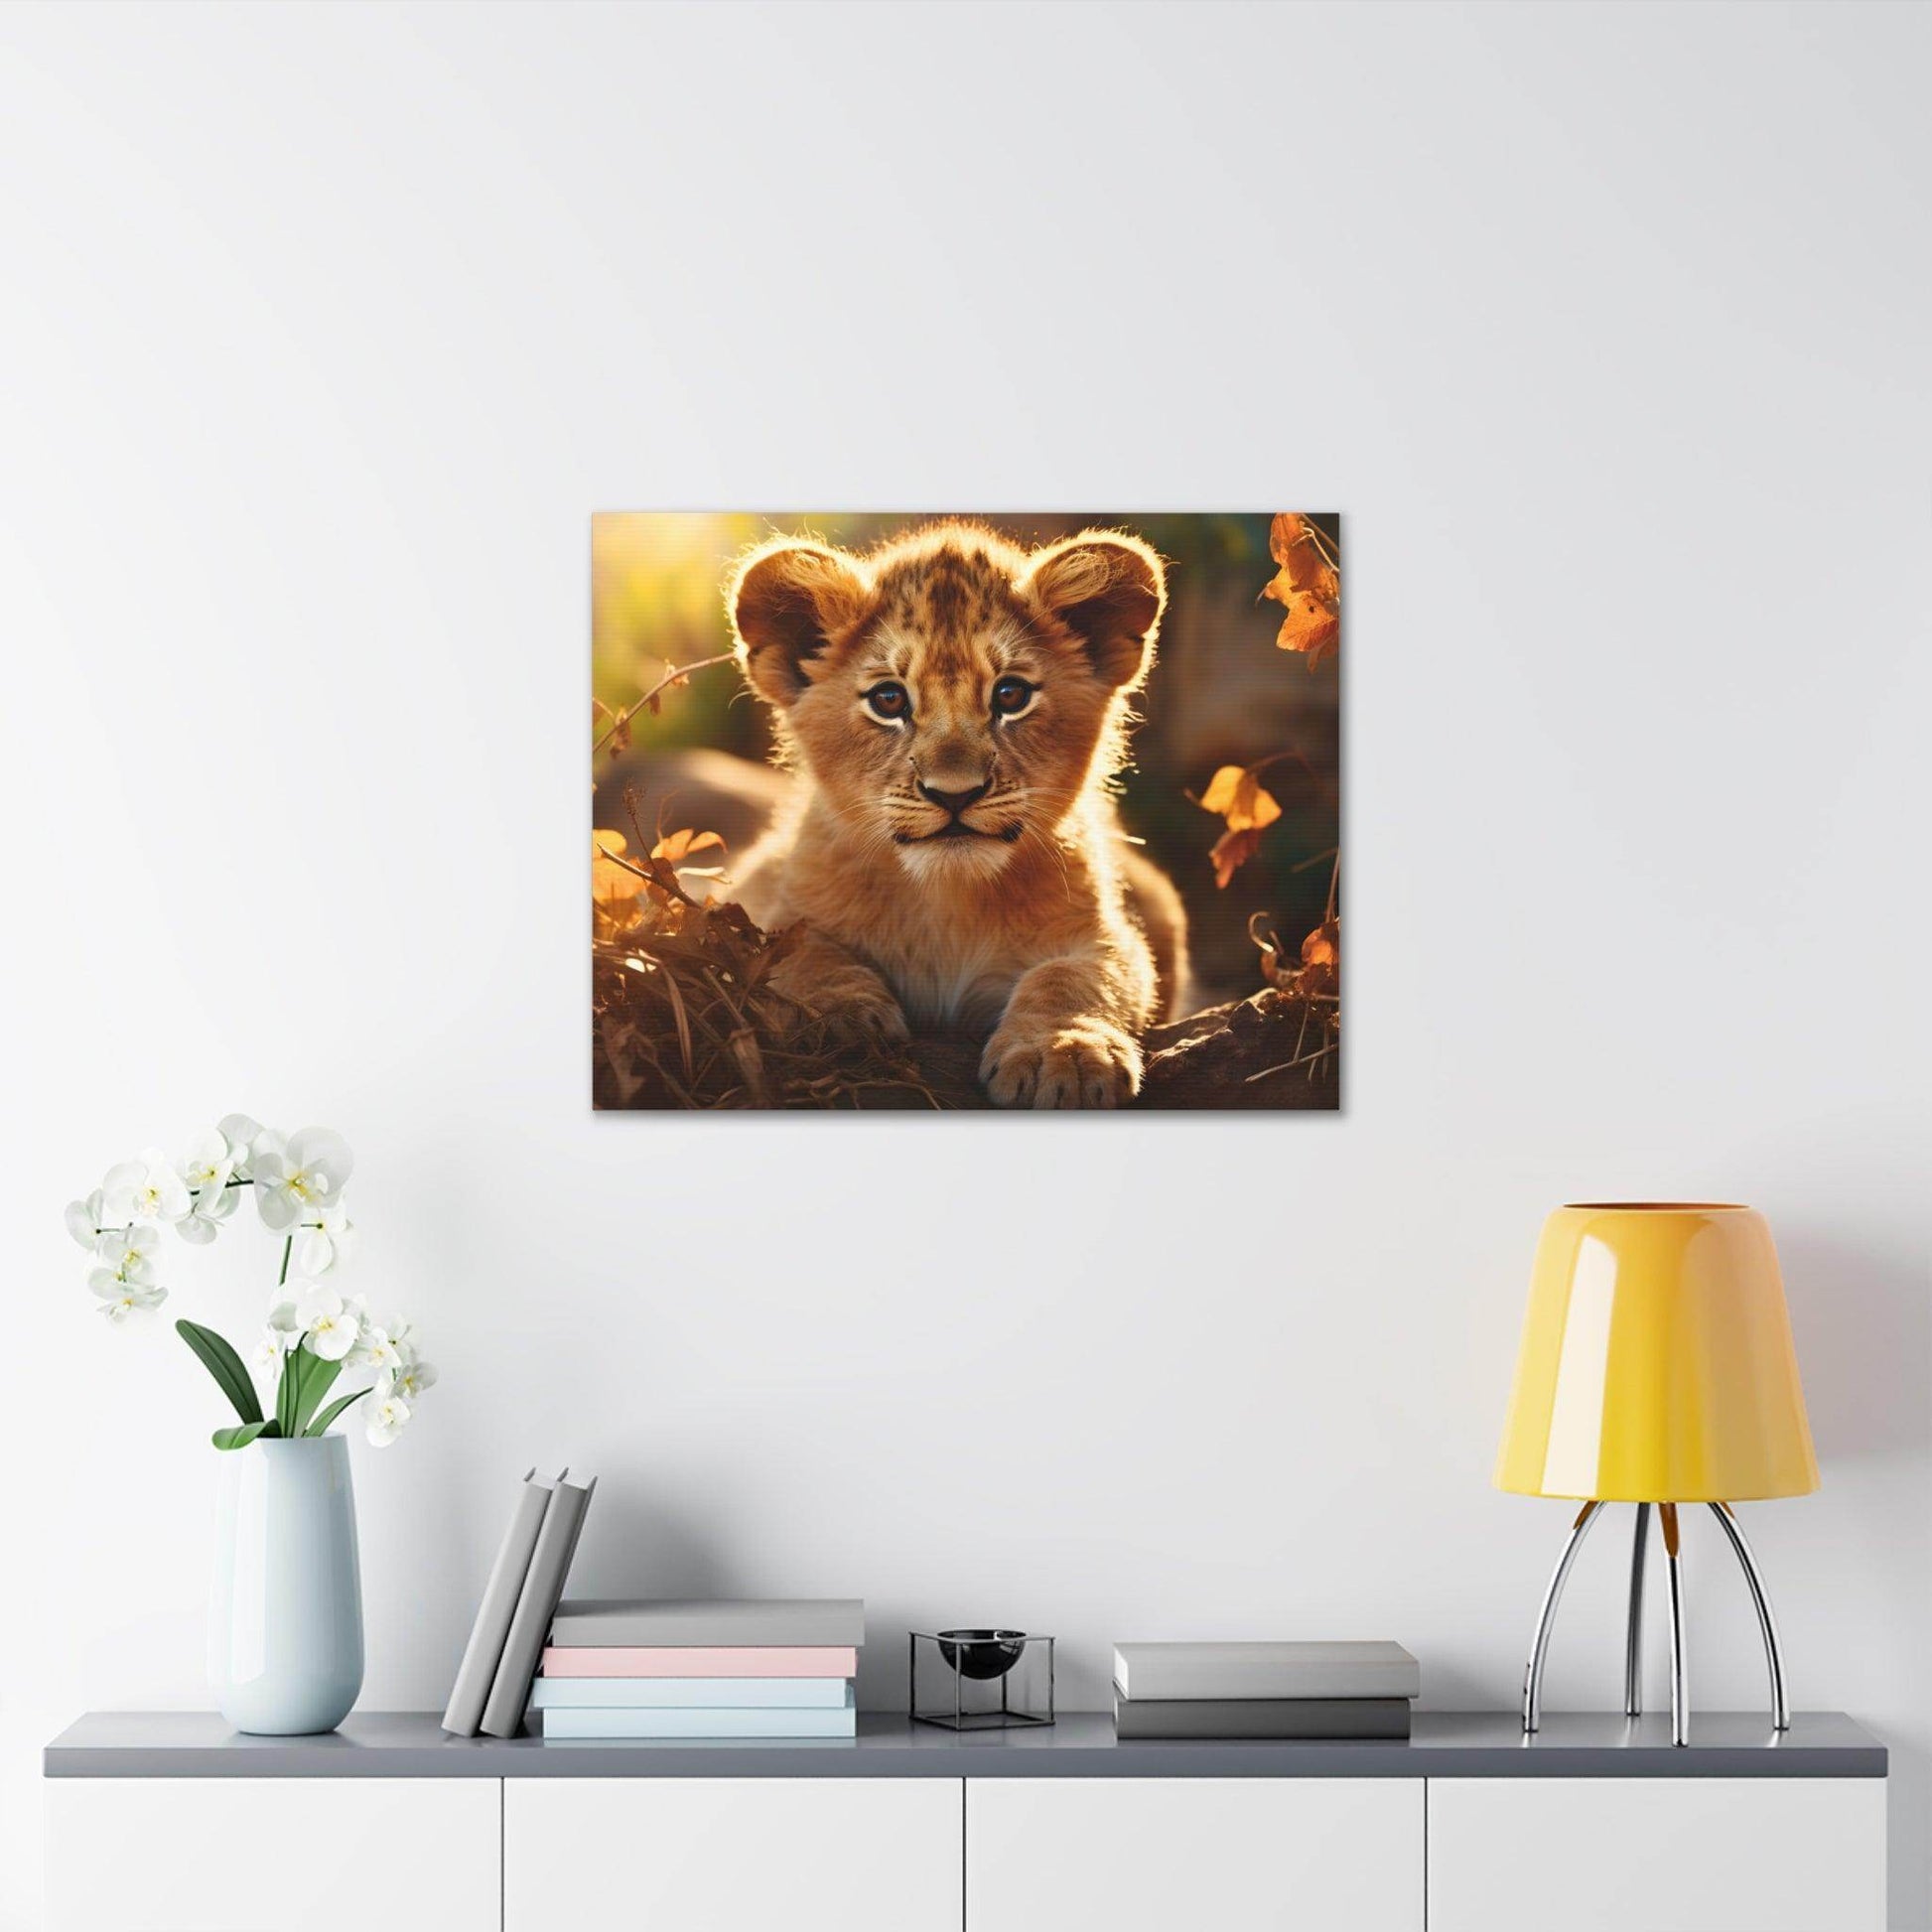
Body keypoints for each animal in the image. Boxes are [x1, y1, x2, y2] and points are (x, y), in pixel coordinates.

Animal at [726, 521, 1189, 1108]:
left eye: (1010, 694)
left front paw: (1064, 1052)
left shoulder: (1104, 932)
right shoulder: (766, 899)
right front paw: (833, 1016)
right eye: (889, 700)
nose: (954, 794)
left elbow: (1076, 976)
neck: (946, 901)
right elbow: (799, 949)